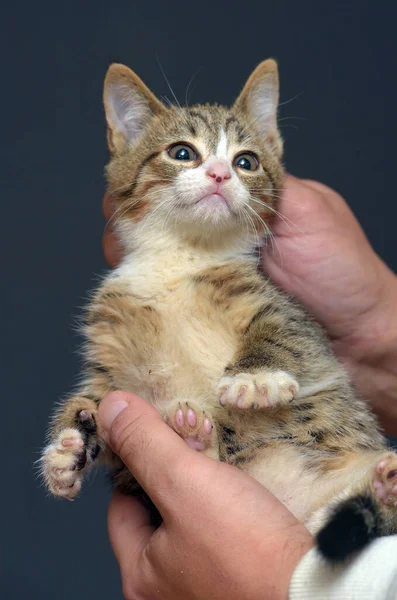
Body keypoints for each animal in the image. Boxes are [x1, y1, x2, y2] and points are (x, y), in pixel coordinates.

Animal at [41, 58, 396, 560]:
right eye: (181, 152)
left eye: (246, 161)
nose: (220, 175)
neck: (181, 260)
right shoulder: (109, 355)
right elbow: (94, 396)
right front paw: (69, 444)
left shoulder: (281, 306)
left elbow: (286, 333)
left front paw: (255, 377)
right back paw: (192, 435)